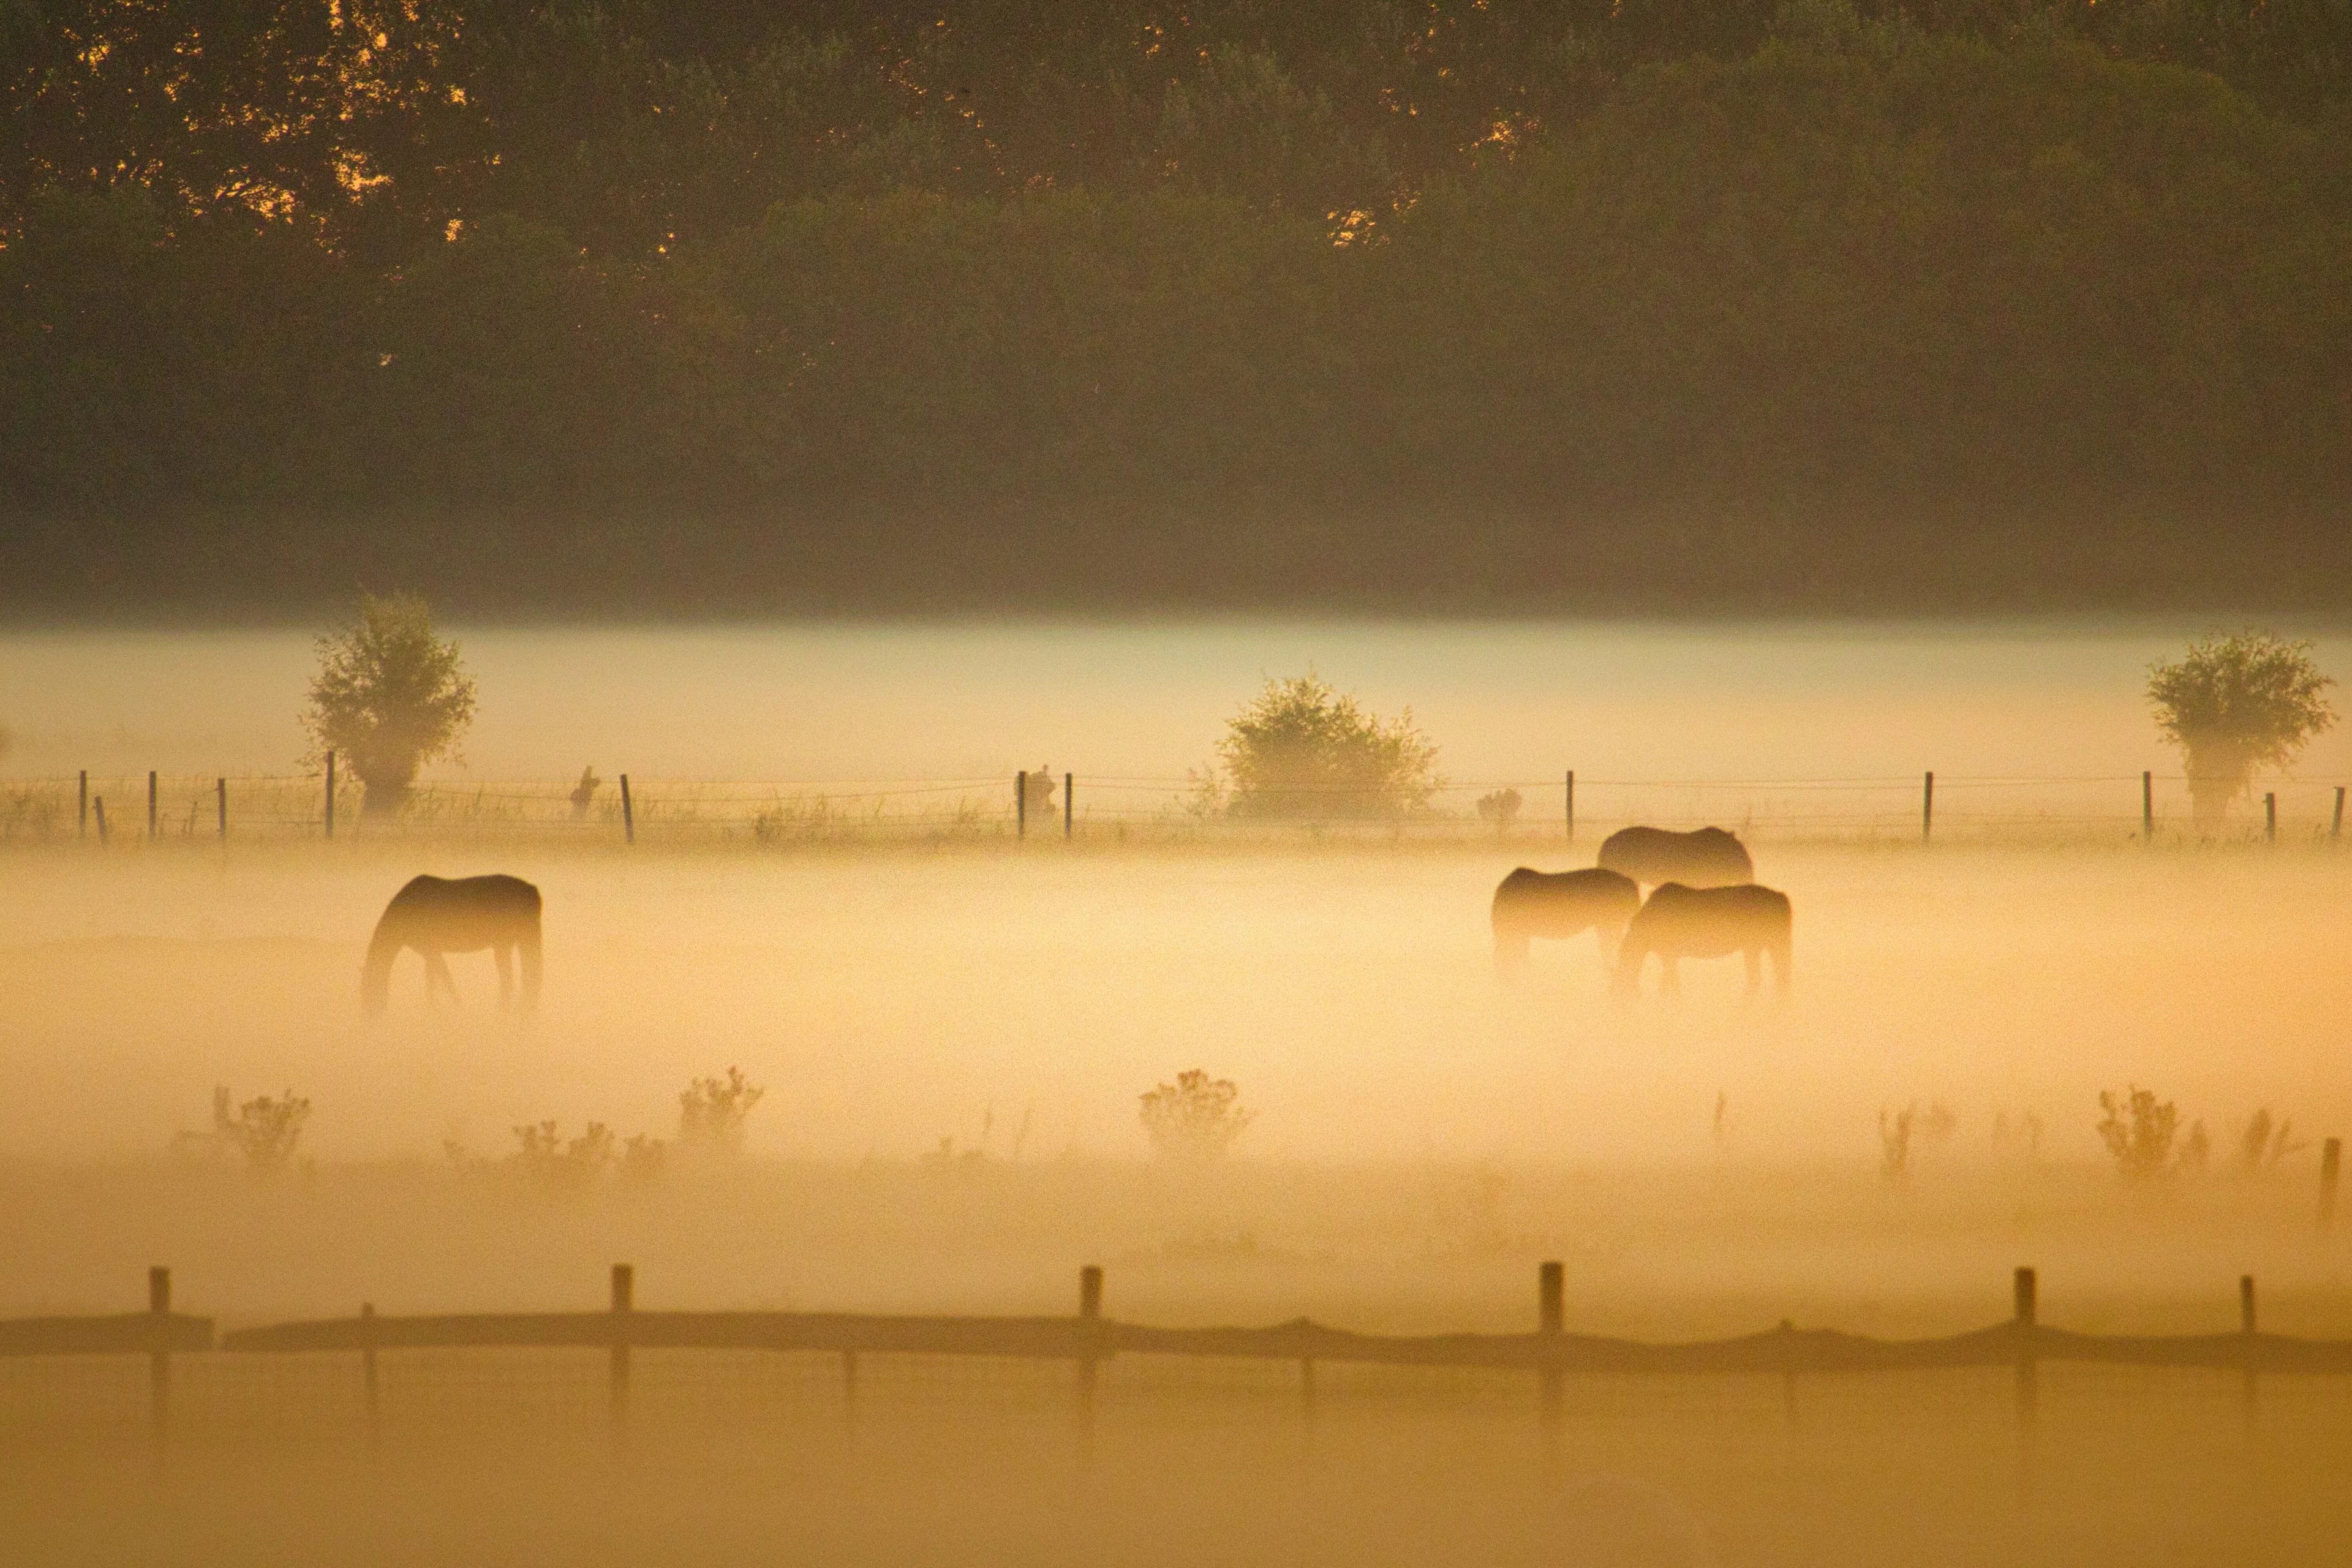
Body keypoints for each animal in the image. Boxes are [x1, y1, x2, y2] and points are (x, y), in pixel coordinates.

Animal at [361, 874, 542, 1017]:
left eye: (368, 989)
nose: (370, 1016)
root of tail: (533, 891)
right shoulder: (431, 952)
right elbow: (433, 981)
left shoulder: (431, 950)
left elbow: (443, 980)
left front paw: (454, 1006)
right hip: (524, 938)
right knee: (528, 974)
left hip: (508, 942)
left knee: (514, 977)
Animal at [1614, 882, 1791, 997]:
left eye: (1624, 963)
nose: (1620, 993)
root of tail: (1781, 897)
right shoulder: (1670, 956)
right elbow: (1670, 981)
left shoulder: (1669, 955)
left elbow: (1670, 982)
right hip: (1763, 945)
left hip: (1764, 944)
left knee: (1768, 975)